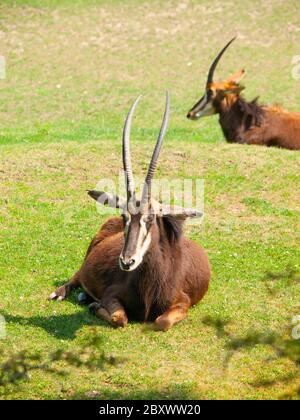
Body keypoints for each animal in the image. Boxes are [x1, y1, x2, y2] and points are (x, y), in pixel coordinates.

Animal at [48, 92, 210, 332]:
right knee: (77, 276)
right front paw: (95, 306)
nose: (127, 262)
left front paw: (93, 305)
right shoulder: (111, 295)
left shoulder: (183, 303)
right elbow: (119, 319)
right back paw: (64, 294)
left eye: (151, 217)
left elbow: (161, 322)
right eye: (125, 216)